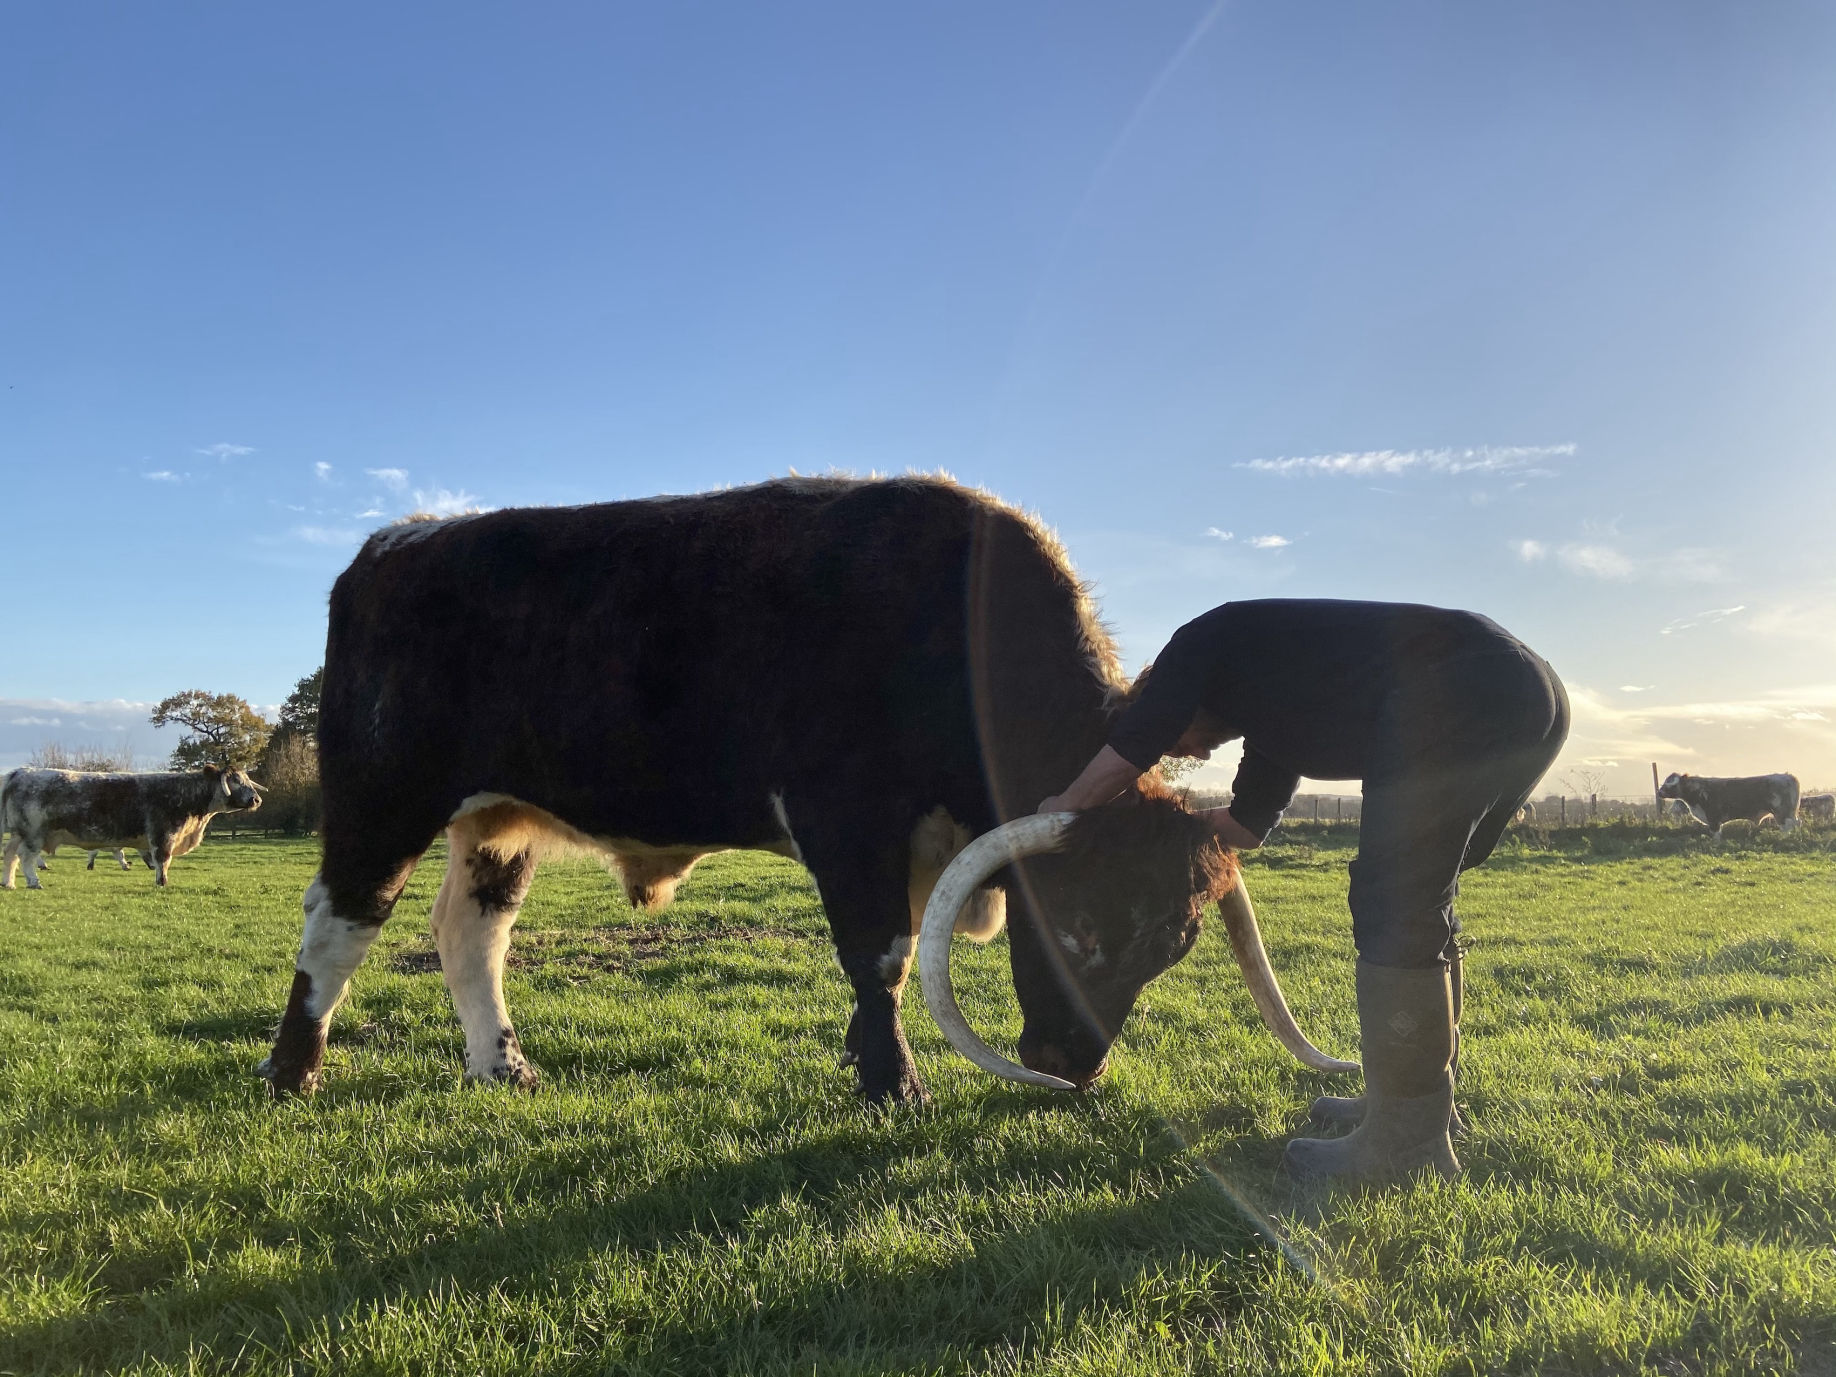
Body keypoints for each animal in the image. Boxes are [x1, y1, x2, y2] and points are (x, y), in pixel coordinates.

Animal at [0, 767, 262, 895]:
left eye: (248, 780)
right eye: (236, 781)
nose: (257, 799)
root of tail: (21, 771)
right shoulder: (162, 834)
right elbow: (162, 860)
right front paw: (162, 883)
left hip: (19, 833)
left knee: (10, 855)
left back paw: (9, 883)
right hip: (33, 833)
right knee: (25, 857)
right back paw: (33, 882)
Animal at [1659, 771, 1799, 837]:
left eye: (1673, 784)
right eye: (1665, 782)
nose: (1659, 792)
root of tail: (1787, 776)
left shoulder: (1713, 817)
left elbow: (1716, 834)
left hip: (1782, 813)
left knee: (1786, 827)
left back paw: (1783, 838)